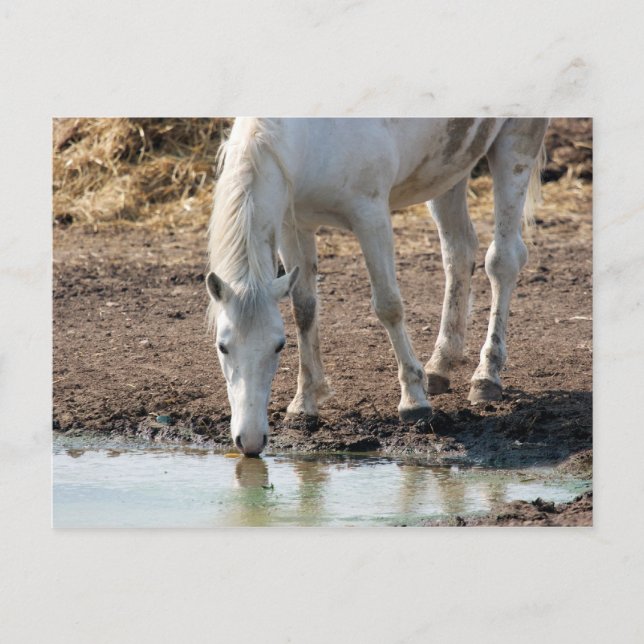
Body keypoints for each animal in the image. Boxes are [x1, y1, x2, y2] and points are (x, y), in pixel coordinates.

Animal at [206, 118, 548, 455]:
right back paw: (439, 366)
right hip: (451, 166)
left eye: (278, 346)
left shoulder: (370, 216)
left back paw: (486, 376)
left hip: (516, 145)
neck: (310, 135)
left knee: (502, 261)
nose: (250, 442)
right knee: (458, 252)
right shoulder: (295, 225)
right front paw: (304, 403)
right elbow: (303, 309)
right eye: (222, 346)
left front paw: (414, 400)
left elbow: (388, 305)